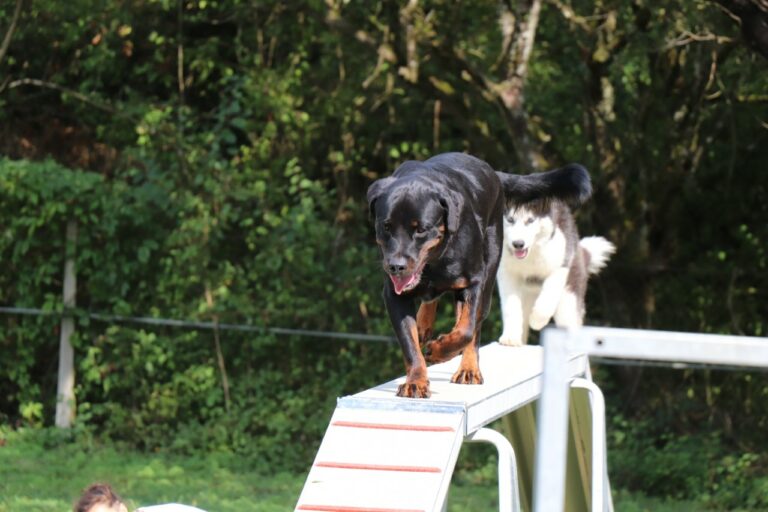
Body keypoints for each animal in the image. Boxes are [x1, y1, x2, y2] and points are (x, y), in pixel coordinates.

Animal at [366, 150, 588, 398]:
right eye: (386, 227)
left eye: (421, 229)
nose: (396, 266)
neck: (435, 261)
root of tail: (493, 173)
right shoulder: (394, 295)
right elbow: (409, 342)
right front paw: (416, 381)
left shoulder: (472, 282)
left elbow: (466, 330)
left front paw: (438, 350)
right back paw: (424, 325)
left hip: (491, 266)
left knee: (474, 326)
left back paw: (468, 369)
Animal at [496, 194, 616, 346]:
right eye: (510, 220)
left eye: (530, 220)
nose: (518, 244)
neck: (531, 253)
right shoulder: (506, 273)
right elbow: (511, 307)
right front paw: (510, 337)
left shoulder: (559, 266)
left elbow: (546, 302)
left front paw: (537, 321)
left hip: (568, 301)